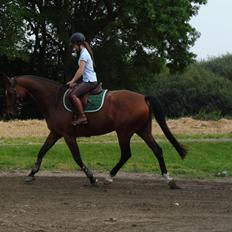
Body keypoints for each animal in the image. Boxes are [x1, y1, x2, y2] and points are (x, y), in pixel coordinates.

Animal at [4, 75, 187, 188]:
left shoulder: (68, 135)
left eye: (10, 92)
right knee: (157, 150)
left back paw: (109, 177)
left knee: (126, 154)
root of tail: (143, 97)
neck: (53, 100)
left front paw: (92, 177)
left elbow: (77, 157)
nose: (11, 112)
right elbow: (42, 151)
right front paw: (31, 174)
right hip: (143, 130)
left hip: (124, 132)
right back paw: (168, 179)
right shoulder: (56, 133)